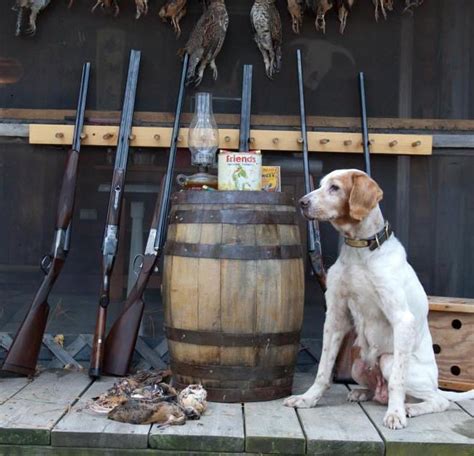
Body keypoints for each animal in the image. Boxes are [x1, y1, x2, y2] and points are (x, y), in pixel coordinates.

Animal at [286, 167, 474, 428]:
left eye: (335, 187)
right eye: (321, 184)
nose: (302, 202)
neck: (360, 250)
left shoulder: (402, 320)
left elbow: (397, 381)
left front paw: (395, 414)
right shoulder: (335, 317)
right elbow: (323, 369)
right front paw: (308, 398)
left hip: (389, 360)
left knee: (438, 400)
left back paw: (409, 408)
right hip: (357, 363)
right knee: (377, 391)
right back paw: (362, 392)